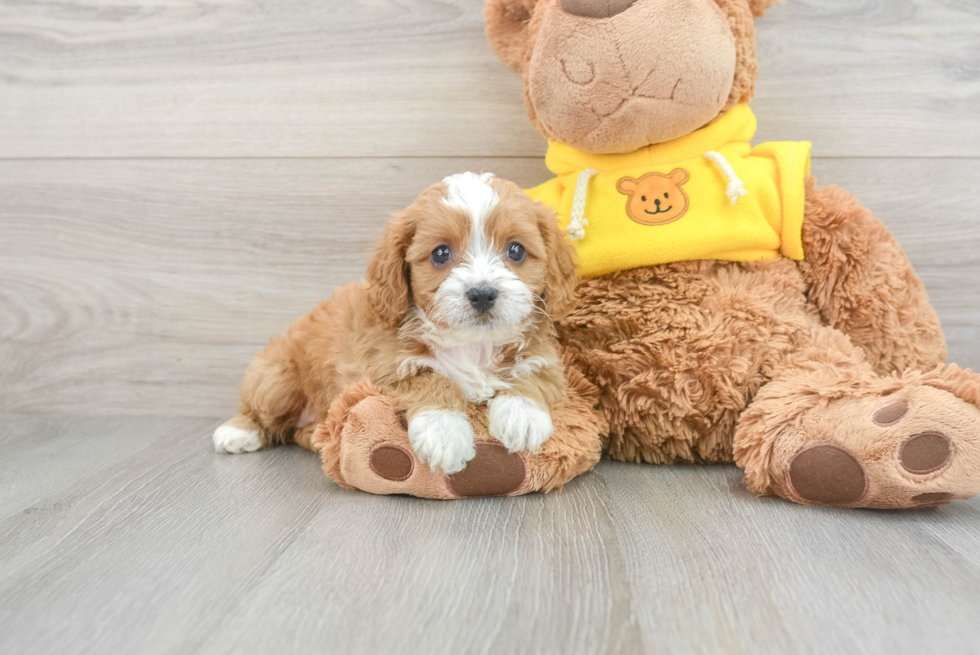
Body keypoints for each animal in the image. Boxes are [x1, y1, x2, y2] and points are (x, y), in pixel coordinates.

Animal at [214, 172, 580, 474]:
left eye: (516, 250)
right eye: (440, 254)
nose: (482, 294)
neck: (471, 344)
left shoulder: (547, 357)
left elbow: (534, 375)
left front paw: (523, 415)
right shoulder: (382, 366)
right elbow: (430, 378)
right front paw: (444, 432)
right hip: (276, 378)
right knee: (258, 409)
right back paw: (237, 432)